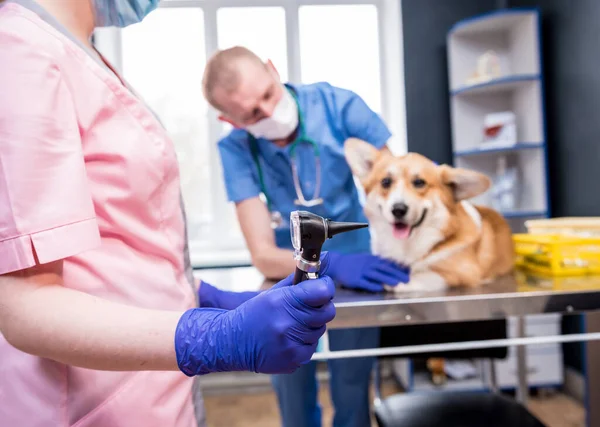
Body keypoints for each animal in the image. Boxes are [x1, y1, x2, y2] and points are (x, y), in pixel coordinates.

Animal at [344, 139, 512, 292]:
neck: (408, 246)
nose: (398, 209)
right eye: (385, 182)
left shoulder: (466, 273)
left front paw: (401, 282)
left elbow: (428, 276)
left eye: (419, 182)